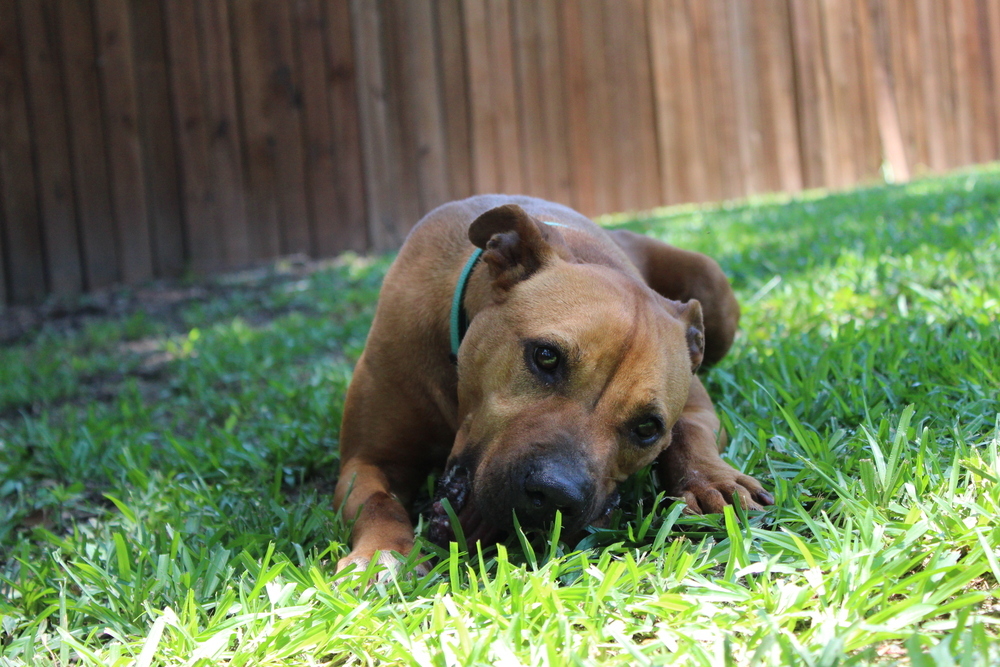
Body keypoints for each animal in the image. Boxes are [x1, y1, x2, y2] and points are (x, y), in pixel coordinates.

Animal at [336, 196, 772, 572]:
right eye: (545, 356)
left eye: (648, 427)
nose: (555, 496)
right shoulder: (368, 459)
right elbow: (376, 501)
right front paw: (381, 555)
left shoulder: (695, 402)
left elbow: (691, 432)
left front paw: (712, 480)